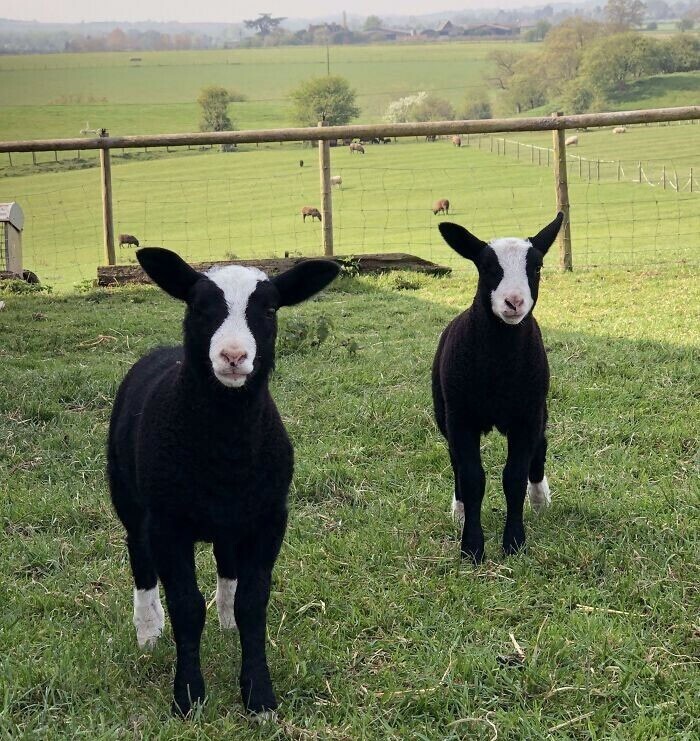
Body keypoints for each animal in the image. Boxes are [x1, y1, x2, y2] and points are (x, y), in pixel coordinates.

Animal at [104, 250, 342, 716]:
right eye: (199, 307)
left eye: (269, 310)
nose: (233, 356)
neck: (227, 446)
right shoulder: (167, 524)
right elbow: (186, 606)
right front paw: (188, 696)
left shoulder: (270, 518)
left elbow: (253, 603)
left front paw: (259, 695)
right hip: (129, 500)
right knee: (140, 560)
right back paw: (148, 631)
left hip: (233, 520)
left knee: (227, 563)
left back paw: (227, 621)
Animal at [434, 212, 568, 560]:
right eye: (486, 267)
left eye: (537, 267)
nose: (514, 301)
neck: (499, 366)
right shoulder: (461, 418)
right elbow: (472, 477)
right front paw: (472, 546)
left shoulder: (526, 417)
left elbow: (514, 477)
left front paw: (514, 542)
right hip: (444, 414)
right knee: (454, 459)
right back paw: (460, 510)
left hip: (539, 407)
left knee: (540, 447)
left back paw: (540, 499)